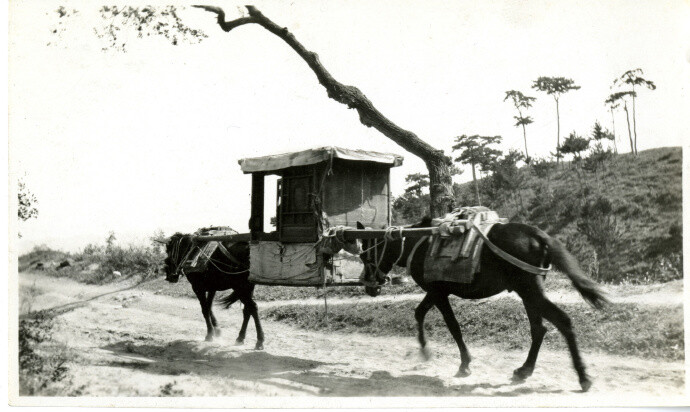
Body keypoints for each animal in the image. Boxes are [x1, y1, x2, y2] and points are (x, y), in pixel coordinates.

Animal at [358, 217, 604, 392]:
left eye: (365, 255)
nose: (369, 287)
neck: (418, 242)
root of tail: (537, 234)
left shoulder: (438, 293)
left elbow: (452, 326)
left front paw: (464, 364)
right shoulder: (436, 292)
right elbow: (419, 313)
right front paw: (425, 350)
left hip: (529, 290)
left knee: (562, 321)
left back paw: (583, 377)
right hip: (530, 292)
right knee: (539, 328)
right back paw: (524, 370)